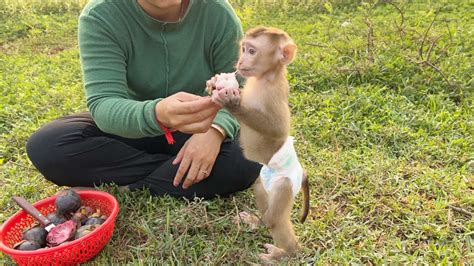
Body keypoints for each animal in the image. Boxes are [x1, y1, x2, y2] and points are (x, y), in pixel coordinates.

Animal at [207, 26, 312, 262]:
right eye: (243, 48)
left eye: (252, 51)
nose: (240, 61)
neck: (265, 78)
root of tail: (301, 173)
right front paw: (215, 84)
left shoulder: (274, 95)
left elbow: (277, 130)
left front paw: (233, 103)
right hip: (265, 179)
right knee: (261, 193)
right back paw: (258, 222)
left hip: (284, 185)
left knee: (277, 220)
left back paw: (284, 253)